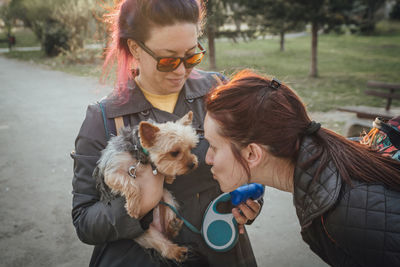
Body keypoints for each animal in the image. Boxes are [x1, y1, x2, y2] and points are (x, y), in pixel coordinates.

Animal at [94, 112, 200, 262]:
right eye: (174, 153)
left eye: (190, 148)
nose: (193, 164)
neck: (137, 151)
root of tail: (156, 226)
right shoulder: (112, 172)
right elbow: (131, 184)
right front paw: (133, 207)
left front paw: (169, 176)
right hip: (145, 235)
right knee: (162, 245)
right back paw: (175, 250)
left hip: (166, 198)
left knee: (168, 233)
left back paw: (173, 228)